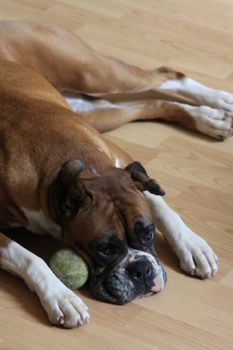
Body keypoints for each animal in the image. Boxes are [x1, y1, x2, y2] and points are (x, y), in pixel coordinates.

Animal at [0, 21, 226, 328]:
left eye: (147, 233)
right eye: (104, 249)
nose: (141, 269)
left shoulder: (123, 164)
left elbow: (159, 204)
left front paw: (192, 245)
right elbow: (28, 257)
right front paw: (60, 296)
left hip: (93, 75)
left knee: (167, 76)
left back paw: (220, 103)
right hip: (94, 110)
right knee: (150, 104)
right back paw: (209, 117)